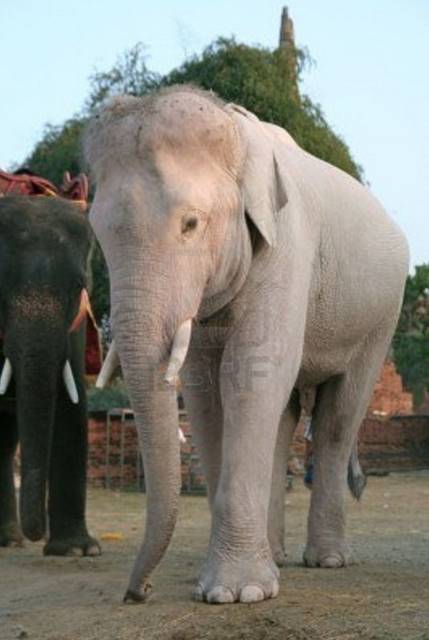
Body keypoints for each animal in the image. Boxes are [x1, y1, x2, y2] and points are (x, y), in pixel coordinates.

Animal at [0, 195, 100, 556]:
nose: (38, 535)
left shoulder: (77, 322)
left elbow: (72, 403)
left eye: (79, 286)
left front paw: (77, 550)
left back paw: (9, 539)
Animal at [85, 86, 409, 604]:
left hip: (382, 316)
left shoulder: (287, 245)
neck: (237, 132)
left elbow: (253, 374)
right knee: (287, 416)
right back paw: (276, 555)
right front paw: (221, 585)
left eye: (191, 224)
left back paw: (327, 560)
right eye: (97, 233)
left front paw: (236, 594)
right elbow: (203, 392)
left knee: (339, 416)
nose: (138, 592)